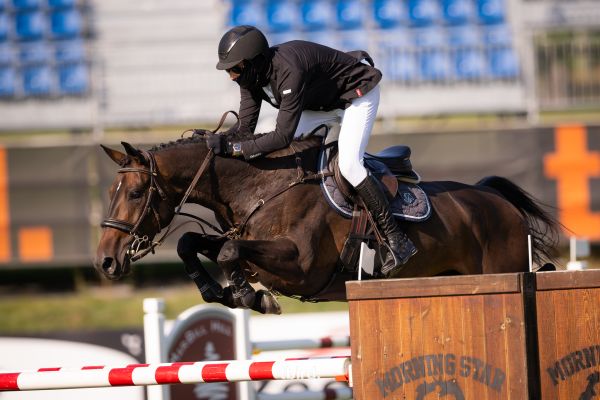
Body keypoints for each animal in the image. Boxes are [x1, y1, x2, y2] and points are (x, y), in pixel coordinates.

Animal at [94, 133, 556, 314]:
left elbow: (227, 251)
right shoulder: (247, 244)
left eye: (136, 193)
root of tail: (496, 199)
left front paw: (250, 297)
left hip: (501, 269)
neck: (260, 187)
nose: (105, 262)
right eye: (111, 192)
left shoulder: (300, 266)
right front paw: (219, 292)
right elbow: (192, 242)